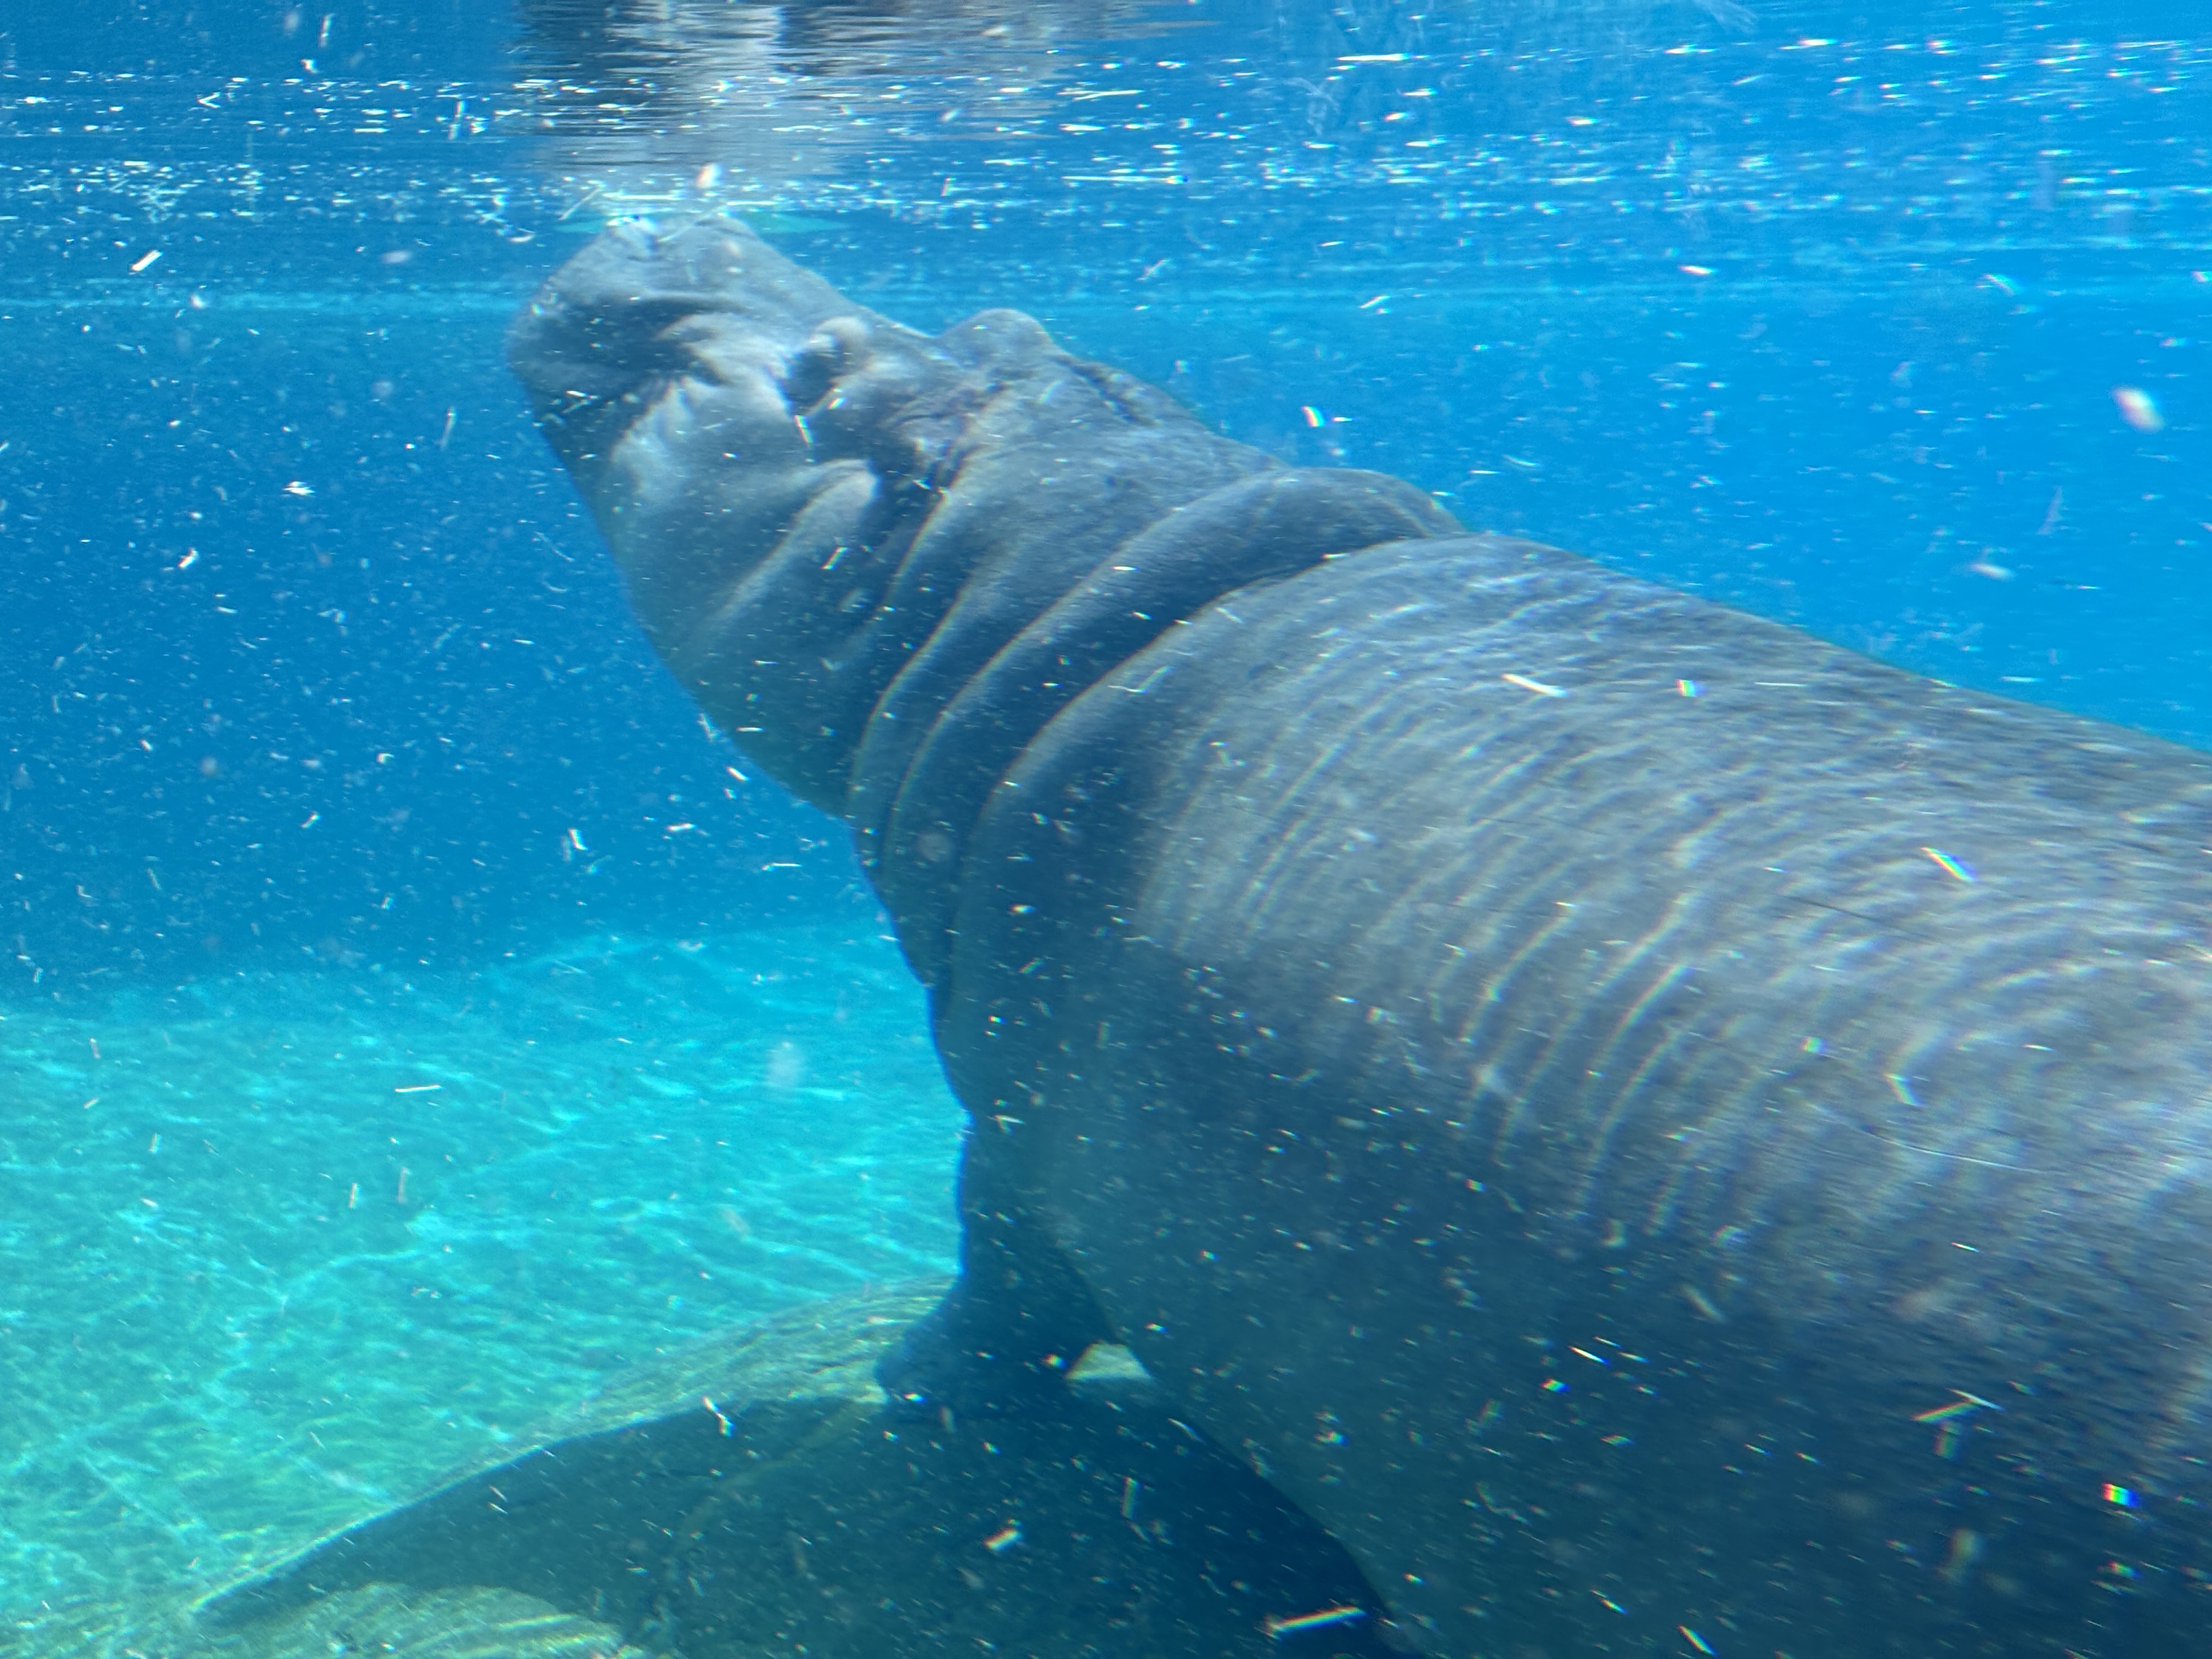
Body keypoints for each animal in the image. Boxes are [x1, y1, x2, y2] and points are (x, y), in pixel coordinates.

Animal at [508, 218, 2212, 1658]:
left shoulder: (1007, 1088)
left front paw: (906, 1387)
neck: (1075, 576)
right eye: (999, 324)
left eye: (824, 372)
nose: (668, 222)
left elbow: (1001, 1293)